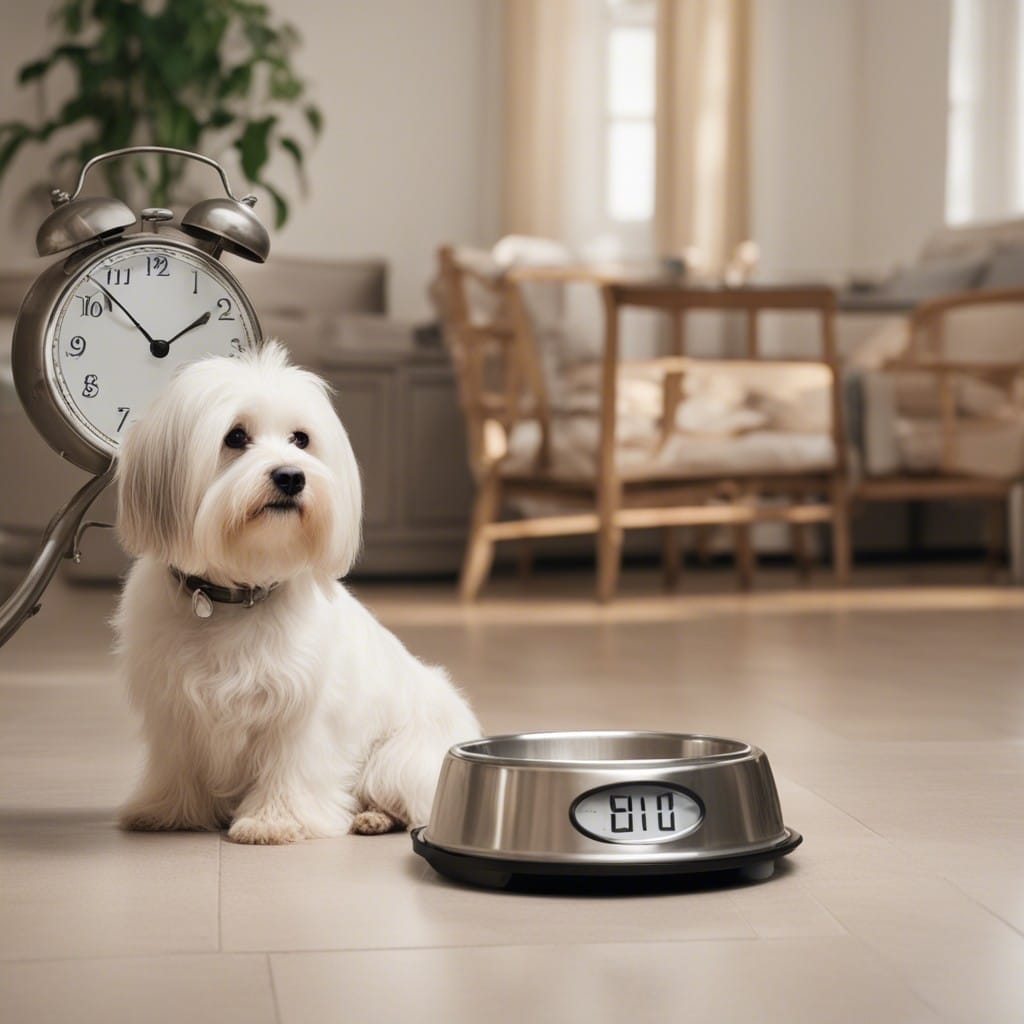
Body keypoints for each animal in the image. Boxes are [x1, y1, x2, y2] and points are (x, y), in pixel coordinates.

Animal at [114, 339, 481, 843]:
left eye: (301, 439)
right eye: (235, 437)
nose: (291, 476)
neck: (239, 592)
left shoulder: (301, 709)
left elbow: (290, 765)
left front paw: (275, 820)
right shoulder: (174, 706)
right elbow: (177, 765)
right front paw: (169, 810)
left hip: (397, 759)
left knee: (410, 802)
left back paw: (373, 816)